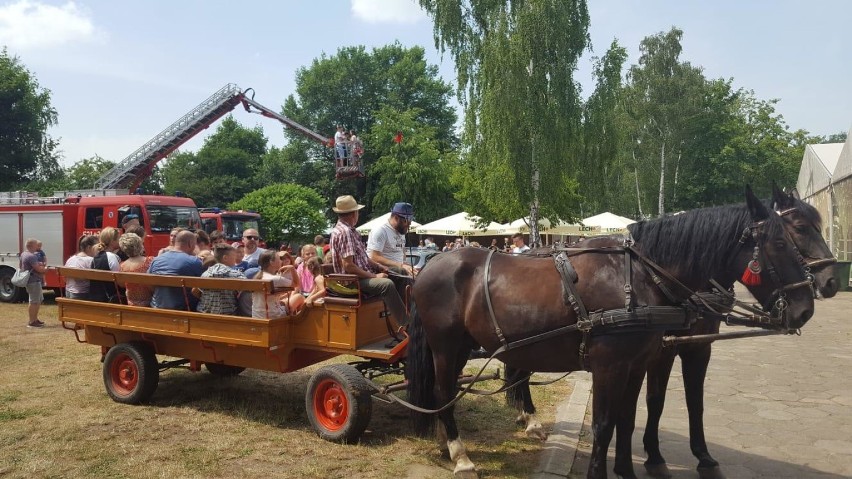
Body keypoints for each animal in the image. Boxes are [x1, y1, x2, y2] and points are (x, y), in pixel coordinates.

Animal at [410, 188, 816, 479]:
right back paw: (461, 456)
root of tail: (431, 265)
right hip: (446, 347)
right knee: (444, 391)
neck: (640, 276)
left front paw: (627, 469)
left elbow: (628, 416)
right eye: (783, 241)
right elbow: (604, 425)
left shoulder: (638, 364)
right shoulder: (610, 367)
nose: (806, 307)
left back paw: (452, 441)